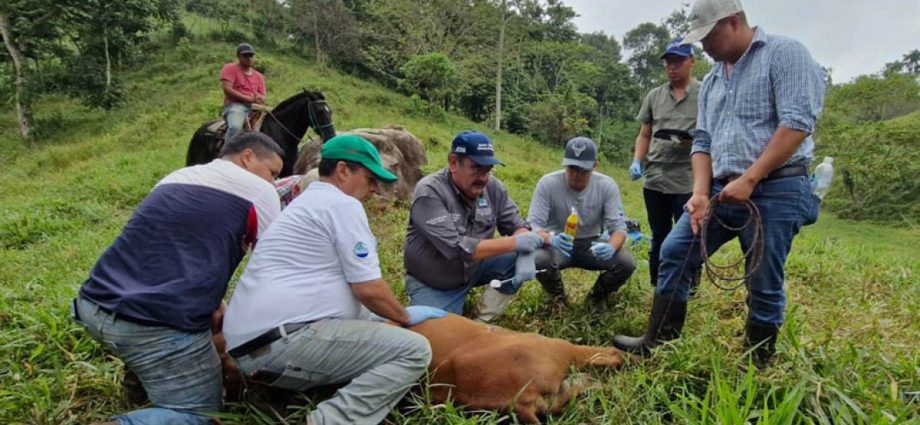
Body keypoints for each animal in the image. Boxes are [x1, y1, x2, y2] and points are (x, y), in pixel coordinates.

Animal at [185, 88, 336, 176]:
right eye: (320, 111)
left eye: (330, 111)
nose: (331, 136)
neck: (279, 133)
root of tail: (200, 130)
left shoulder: (286, 171)